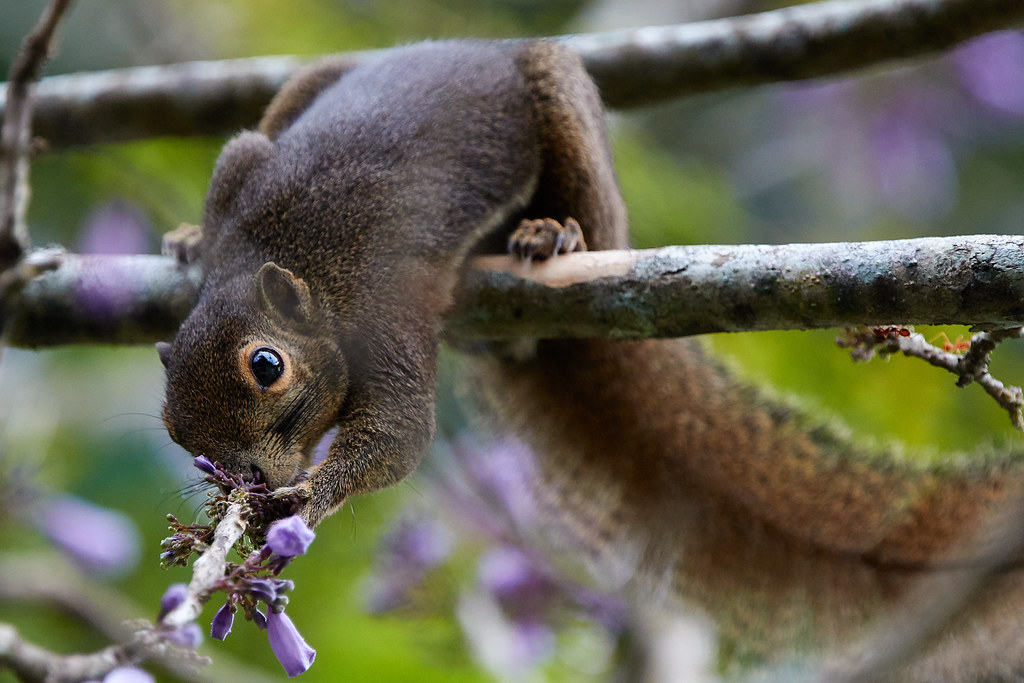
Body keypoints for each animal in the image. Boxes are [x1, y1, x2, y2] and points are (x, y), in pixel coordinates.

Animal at [157, 39, 1024, 680]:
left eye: (267, 367)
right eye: (173, 428)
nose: (247, 478)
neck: (280, 257)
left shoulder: (387, 312)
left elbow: (399, 435)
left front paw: (308, 496)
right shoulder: (243, 173)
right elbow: (240, 152)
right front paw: (194, 236)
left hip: (562, 105)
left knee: (592, 205)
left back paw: (556, 234)